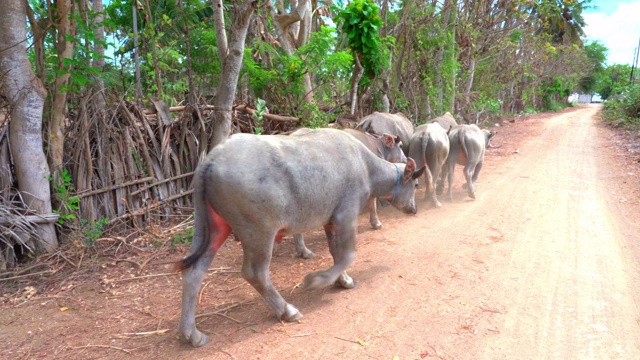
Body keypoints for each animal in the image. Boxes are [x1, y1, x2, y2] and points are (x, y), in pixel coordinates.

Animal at [292, 128, 404, 258]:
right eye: (400, 146)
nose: (406, 159)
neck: (375, 147)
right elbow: (373, 204)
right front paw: (376, 223)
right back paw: (305, 251)